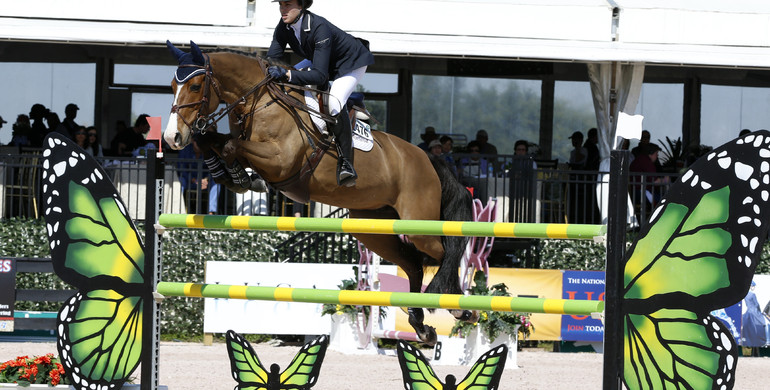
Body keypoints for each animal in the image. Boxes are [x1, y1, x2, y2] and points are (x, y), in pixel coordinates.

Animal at [163, 40, 474, 344]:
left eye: (195, 86)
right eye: (172, 86)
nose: (171, 138)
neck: (258, 101)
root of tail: (428, 159)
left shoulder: (280, 161)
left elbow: (231, 146)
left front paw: (242, 178)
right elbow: (210, 141)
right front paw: (232, 175)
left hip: (419, 224)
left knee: (447, 251)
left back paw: (460, 308)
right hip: (372, 228)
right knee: (413, 263)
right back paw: (422, 326)